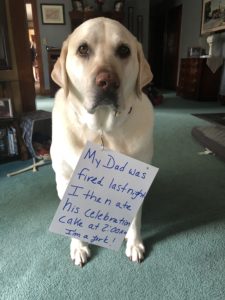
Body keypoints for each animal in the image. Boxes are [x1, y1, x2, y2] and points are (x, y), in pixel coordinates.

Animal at [50, 17, 154, 264]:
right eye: (83, 49)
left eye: (124, 50)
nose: (107, 81)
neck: (102, 129)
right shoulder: (67, 181)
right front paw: (79, 246)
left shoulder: (136, 184)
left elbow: (134, 220)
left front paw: (134, 243)